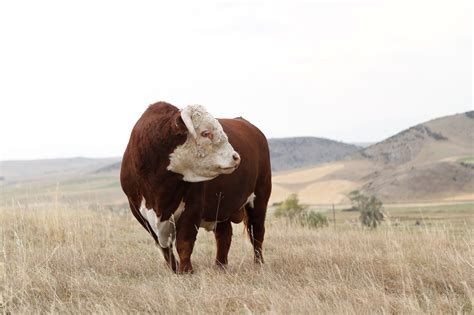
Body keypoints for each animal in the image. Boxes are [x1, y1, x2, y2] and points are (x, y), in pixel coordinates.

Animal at [120, 102, 272, 274]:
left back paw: (258, 264)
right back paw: (220, 266)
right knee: (224, 235)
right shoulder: (139, 212)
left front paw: (186, 272)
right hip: (220, 206)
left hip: (260, 197)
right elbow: (164, 248)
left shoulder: (193, 208)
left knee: (257, 233)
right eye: (206, 133)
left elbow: (184, 243)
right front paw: (175, 270)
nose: (236, 157)